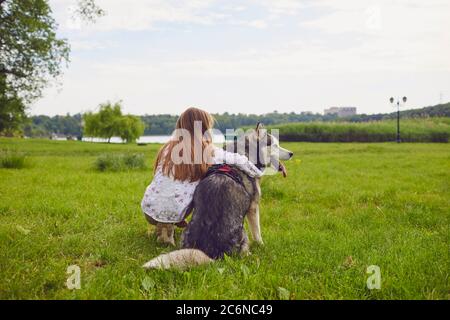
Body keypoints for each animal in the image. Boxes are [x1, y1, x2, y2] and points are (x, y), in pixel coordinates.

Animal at [142, 124, 294, 268]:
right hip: (243, 233)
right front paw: (262, 246)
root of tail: (212, 253)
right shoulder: (253, 207)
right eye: (275, 145)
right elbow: (257, 233)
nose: (292, 153)